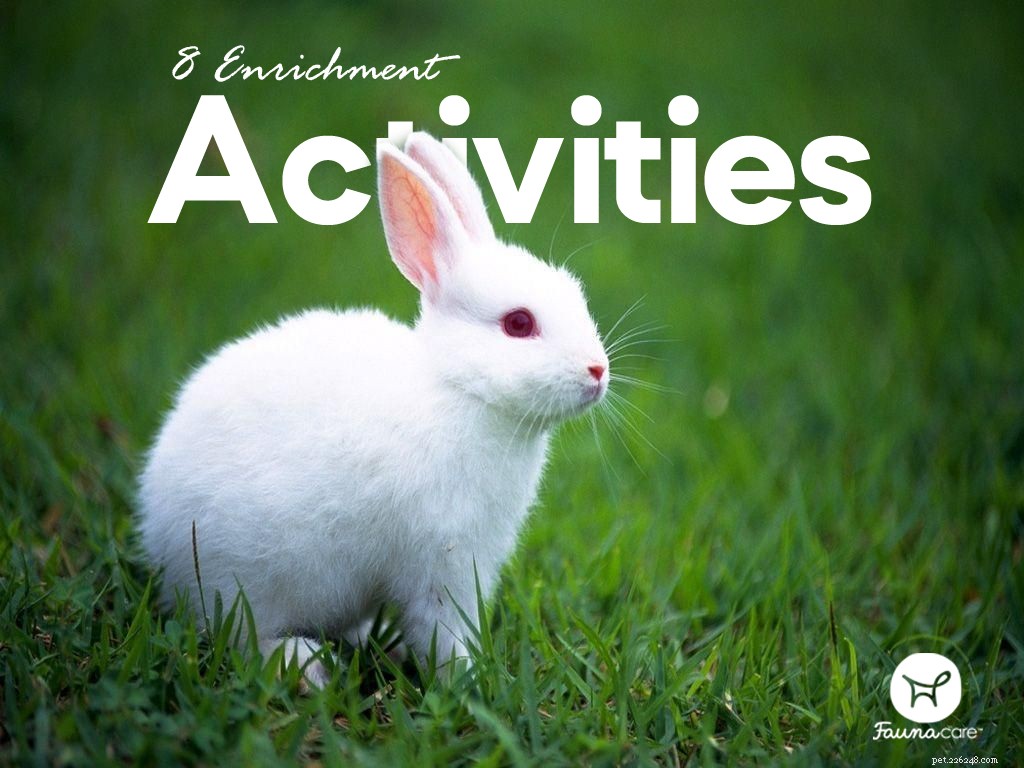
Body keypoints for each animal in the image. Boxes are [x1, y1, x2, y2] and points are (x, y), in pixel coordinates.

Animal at [138, 131, 610, 685]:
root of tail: (158, 531)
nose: (597, 371)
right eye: (519, 323)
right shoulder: (443, 562)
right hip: (245, 578)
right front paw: (468, 679)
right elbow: (442, 630)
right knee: (241, 636)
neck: (459, 390)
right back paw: (307, 666)